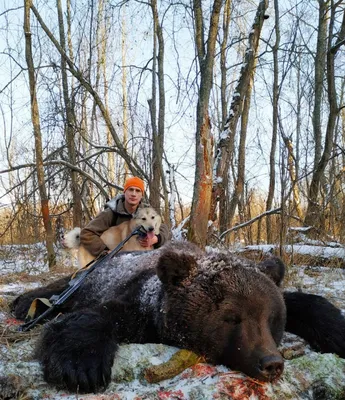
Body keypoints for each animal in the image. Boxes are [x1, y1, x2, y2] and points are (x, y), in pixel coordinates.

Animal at [10, 241, 344, 394]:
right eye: (231, 318)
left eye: (271, 319)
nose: (271, 363)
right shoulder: (138, 306)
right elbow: (90, 318)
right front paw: (81, 367)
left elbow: (304, 301)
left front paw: (336, 332)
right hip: (88, 277)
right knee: (60, 291)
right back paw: (25, 303)